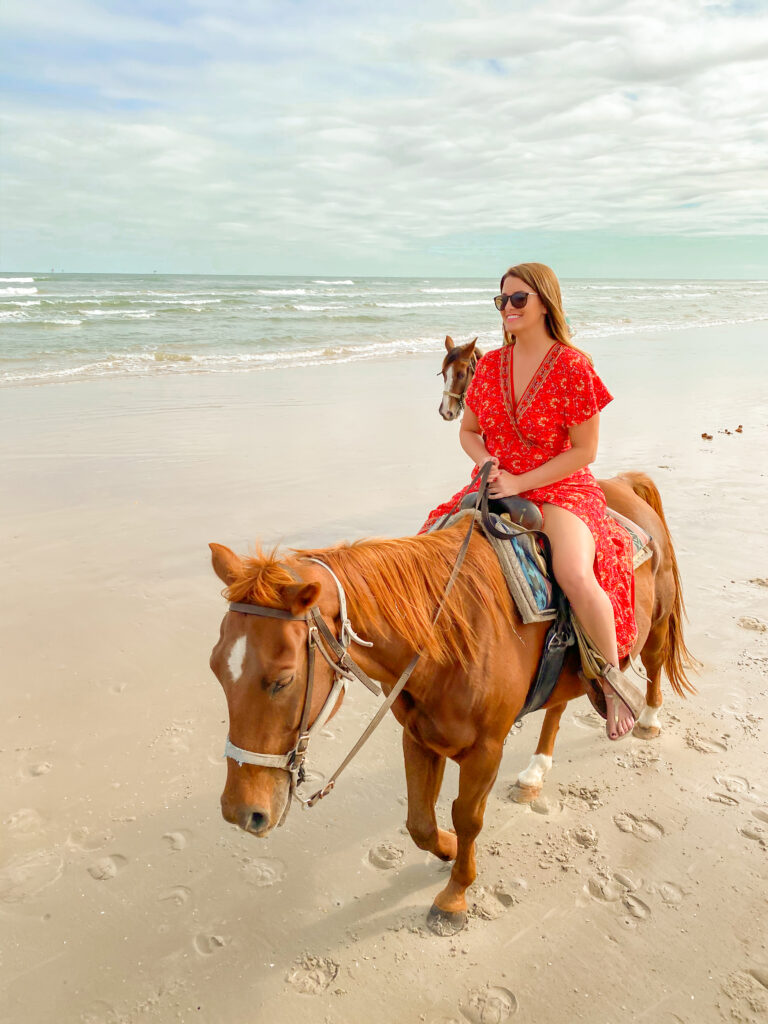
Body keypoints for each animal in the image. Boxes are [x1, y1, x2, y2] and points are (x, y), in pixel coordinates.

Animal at [208, 471, 696, 937]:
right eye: (216, 669)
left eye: (283, 680)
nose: (240, 812)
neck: (448, 630)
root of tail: (624, 482)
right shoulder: (419, 735)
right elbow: (420, 822)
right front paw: (445, 849)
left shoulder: (486, 749)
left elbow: (468, 818)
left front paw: (455, 896)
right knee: (557, 706)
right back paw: (534, 773)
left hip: (655, 620)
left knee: (653, 662)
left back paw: (646, 719)